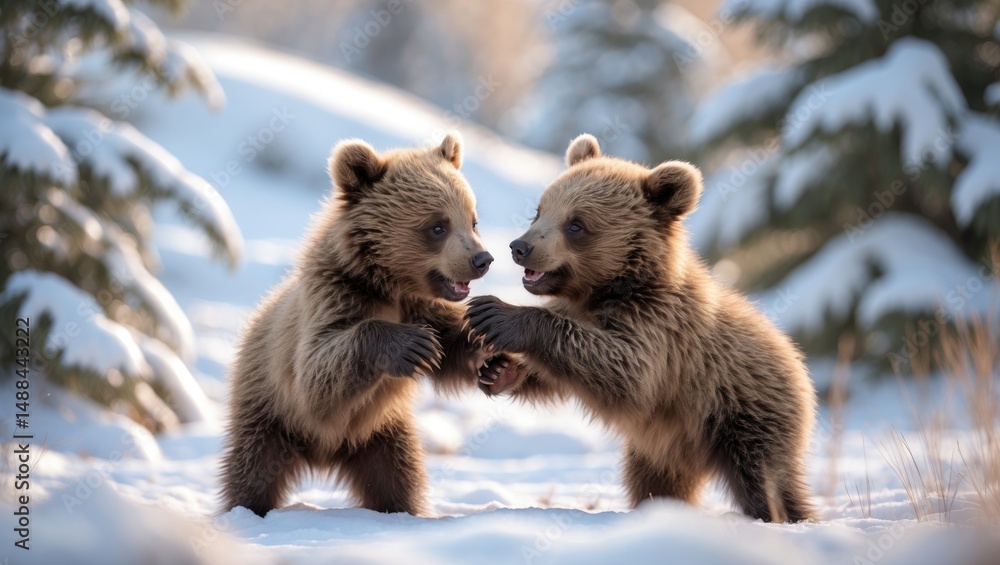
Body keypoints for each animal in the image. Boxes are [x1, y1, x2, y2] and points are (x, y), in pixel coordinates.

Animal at [220, 134, 494, 517]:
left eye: (472, 220)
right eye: (437, 226)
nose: (481, 259)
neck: (388, 286)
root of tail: (322, 455)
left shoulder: (422, 307)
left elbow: (453, 343)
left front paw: (493, 355)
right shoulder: (334, 298)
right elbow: (317, 373)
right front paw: (414, 345)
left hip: (380, 433)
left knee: (397, 475)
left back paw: (403, 509)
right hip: (270, 413)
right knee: (253, 466)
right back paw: (245, 509)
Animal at [466, 134, 816, 523]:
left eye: (576, 224)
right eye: (540, 211)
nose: (520, 247)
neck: (607, 290)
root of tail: (798, 361)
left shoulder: (659, 329)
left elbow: (625, 369)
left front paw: (495, 312)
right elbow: (555, 372)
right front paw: (497, 370)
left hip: (743, 414)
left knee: (764, 477)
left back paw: (787, 515)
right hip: (659, 449)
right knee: (655, 483)